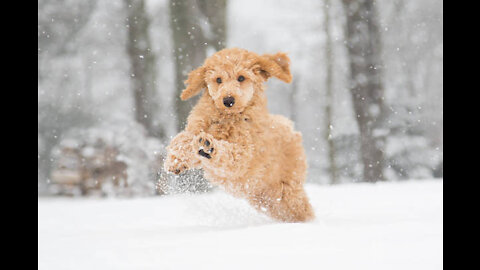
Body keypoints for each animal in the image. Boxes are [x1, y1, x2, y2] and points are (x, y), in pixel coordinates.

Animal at [165, 48, 316, 221]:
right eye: (218, 79)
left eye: (241, 77)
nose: (228, 100)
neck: (227, 118)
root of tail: (290, 127)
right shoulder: (197, 128)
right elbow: (182, 139)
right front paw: (175, 161)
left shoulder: (244, 154)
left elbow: (230, 154)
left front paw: (209, 147)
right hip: (263, 197)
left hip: (287, 189)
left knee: (301, 209)